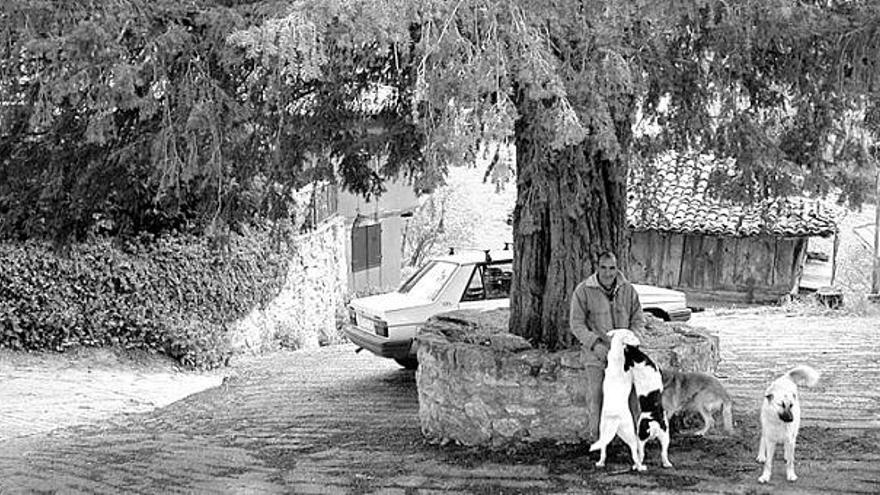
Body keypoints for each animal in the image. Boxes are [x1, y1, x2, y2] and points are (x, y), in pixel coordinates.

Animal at [588, 330, 644, 472]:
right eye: (632, 336)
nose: (639, 344)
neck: (617, 353)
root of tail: (614, 419)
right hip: (630, 432)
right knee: (634, 452)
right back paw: (640, 466)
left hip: (604, 432)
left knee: (603, 449)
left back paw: (600, 463)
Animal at [624, 342, 672, 470]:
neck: (641, 358)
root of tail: (653, 424)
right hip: (665, 437)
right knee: (664, 453)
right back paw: (666, 463)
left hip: (640, 438)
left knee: (641, 455)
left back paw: (637, 466)